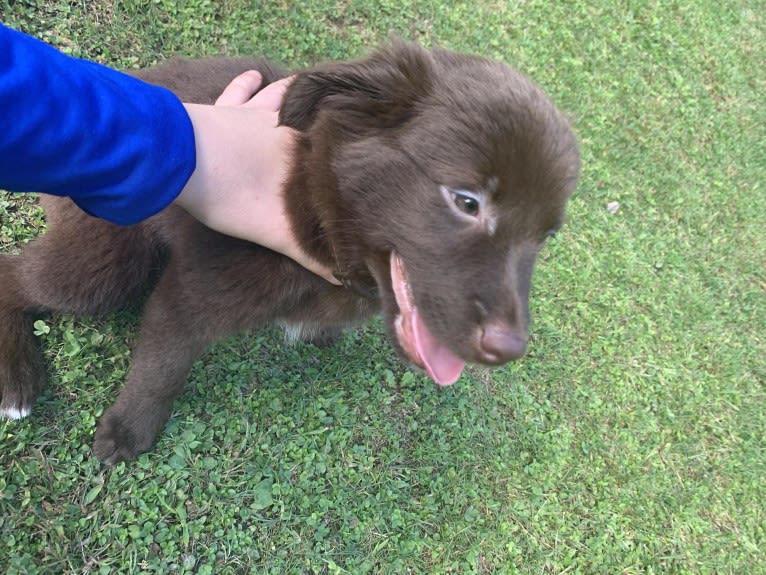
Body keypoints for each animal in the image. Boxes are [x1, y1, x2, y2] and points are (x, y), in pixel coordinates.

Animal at [0, 41, 580, 464]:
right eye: (466, 201)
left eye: (546, 234)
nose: (509, 349)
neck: (318, 211)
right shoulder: (187, 297)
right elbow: (161, 369)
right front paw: (129, 430)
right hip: (109, 263)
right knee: (14, 277)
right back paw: (17, 378)